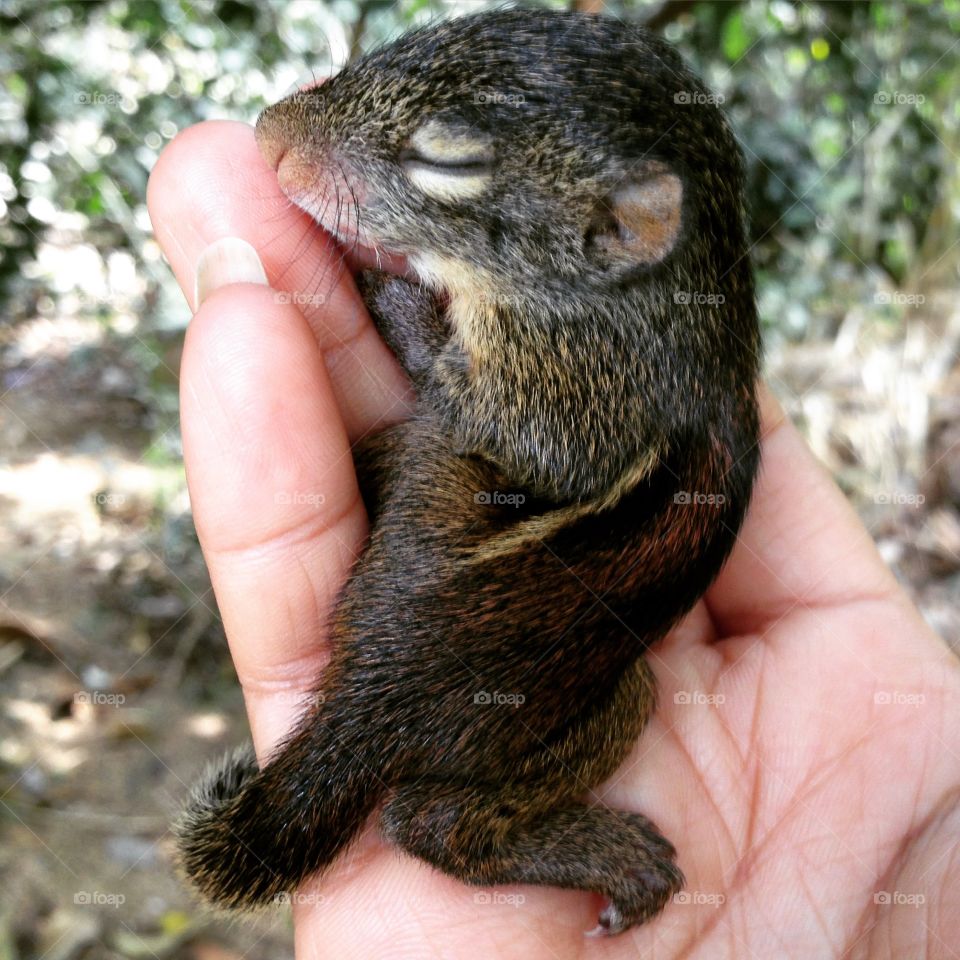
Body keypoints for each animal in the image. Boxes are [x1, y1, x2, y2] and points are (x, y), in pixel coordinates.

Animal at [176, 7, 760, 936]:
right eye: (412, 39)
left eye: (447, 163)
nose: (269, 135)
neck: (683, 281)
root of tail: (369, 701)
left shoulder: (565, 379)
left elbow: (493, 415)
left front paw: (386, 288)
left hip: (591, 693)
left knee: (431, 823)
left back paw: (609, 857)